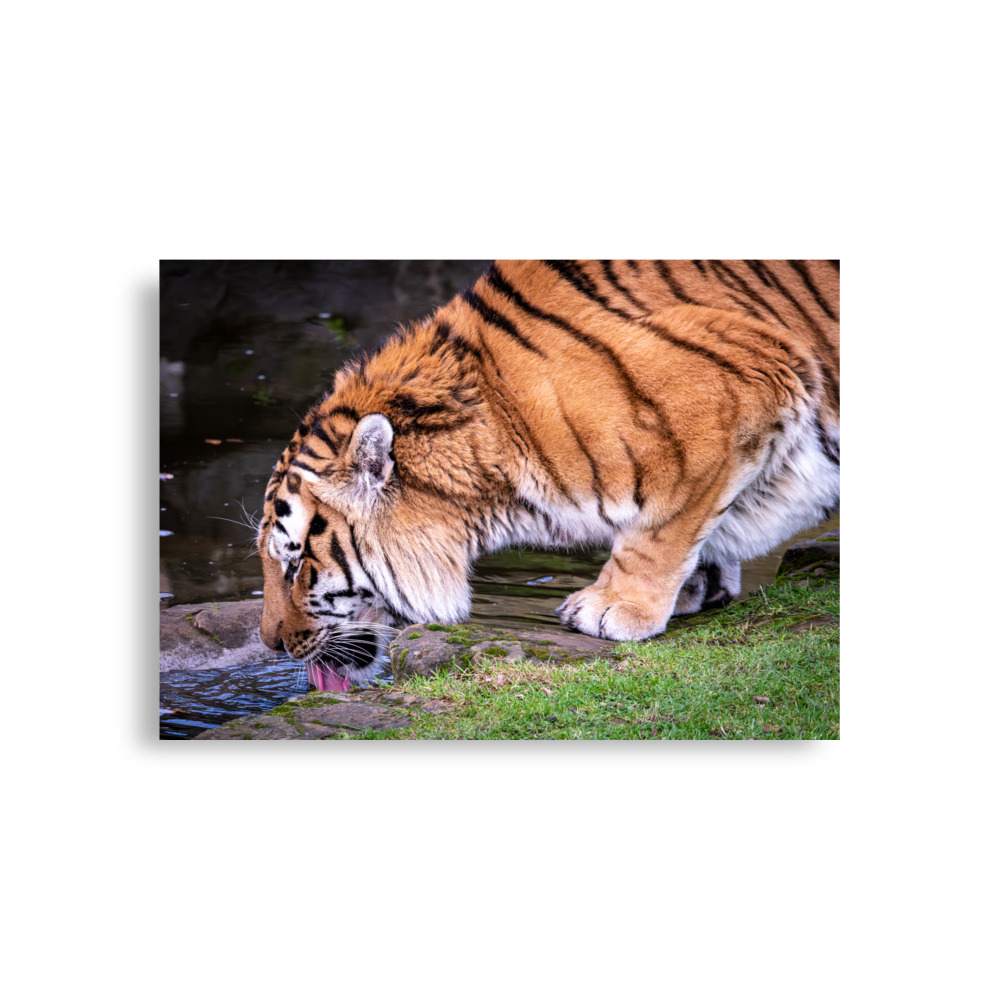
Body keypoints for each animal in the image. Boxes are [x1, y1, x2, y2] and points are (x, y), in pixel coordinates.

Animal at [257, 260, 839, 691]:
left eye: (295, 563)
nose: (270, 644)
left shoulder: (736, 383)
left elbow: (662, 520)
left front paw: (614, 607)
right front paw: (699, 584)